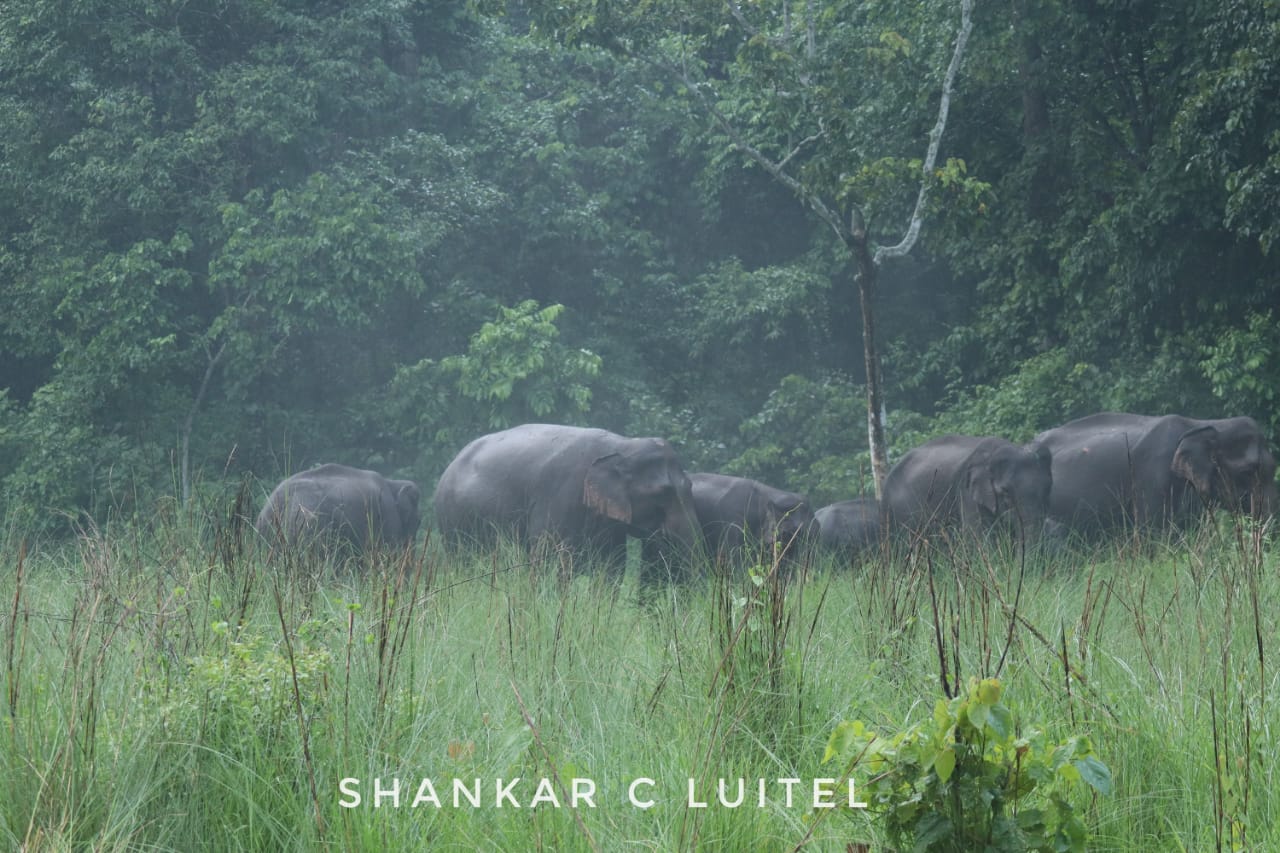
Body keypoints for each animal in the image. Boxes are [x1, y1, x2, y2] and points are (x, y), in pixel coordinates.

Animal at [430, 422, 696, 581]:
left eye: (690, 486)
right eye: (664, 492)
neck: (623, 446)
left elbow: (612, 569)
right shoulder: (559, 498)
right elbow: (550, 563)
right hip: (453, 521)